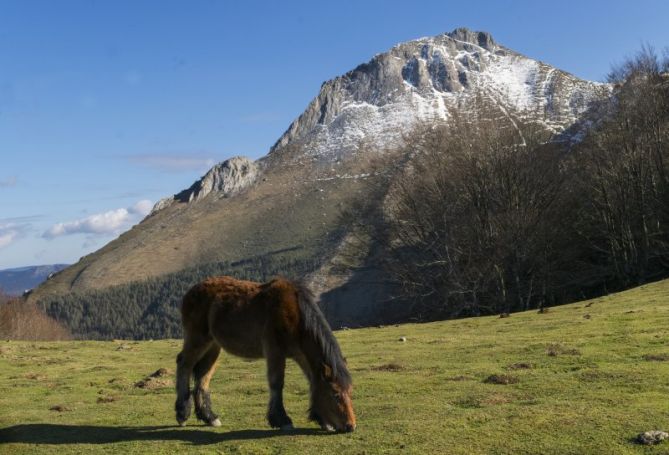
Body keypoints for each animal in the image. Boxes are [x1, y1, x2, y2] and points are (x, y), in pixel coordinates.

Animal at [175, 276, 358, 432]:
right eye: (335, 394)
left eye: (349, 392)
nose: (350, 426)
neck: (295, 315)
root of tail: (190, 292)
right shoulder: (275, 350)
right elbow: (277, 383)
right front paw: (281, 420)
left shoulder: (300, 355)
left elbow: (312, 381)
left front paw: (322, 420)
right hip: (198, 340)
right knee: (184, 364)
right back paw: (182, 414)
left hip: (213, 345)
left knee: (203, 376)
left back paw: (209, 417)